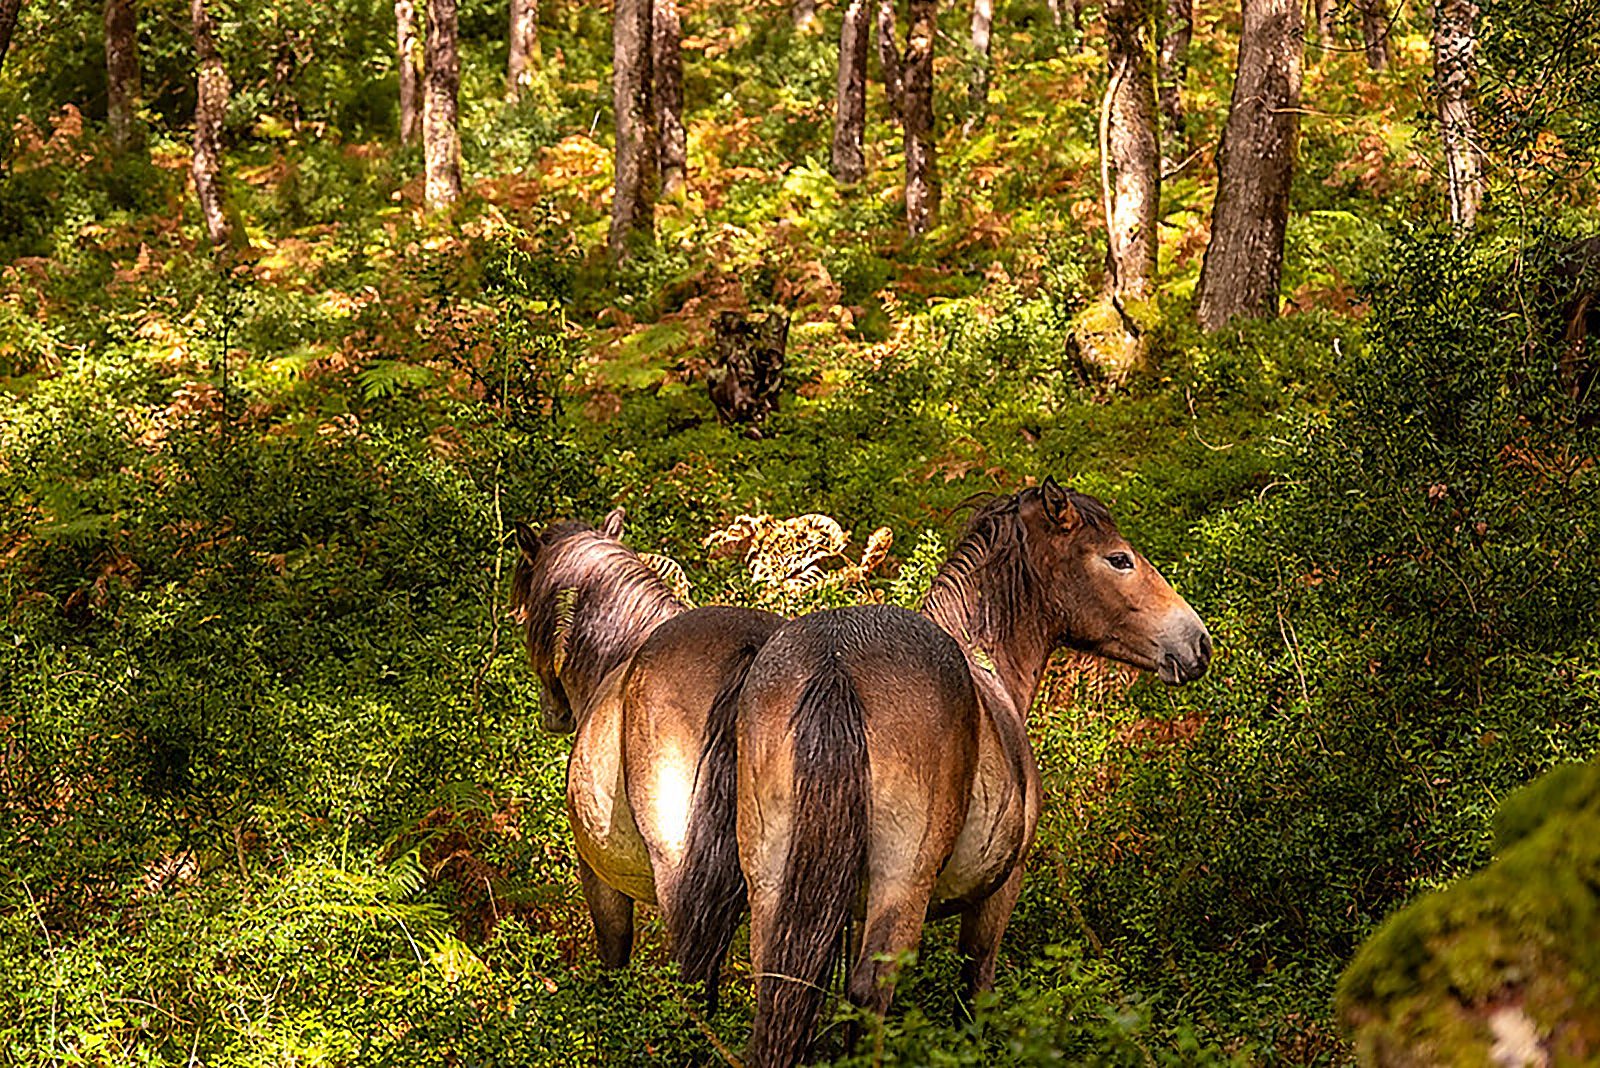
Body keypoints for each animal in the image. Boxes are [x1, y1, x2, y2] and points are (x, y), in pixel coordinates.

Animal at [735, 478, 1213, 1067]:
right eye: (1119, 559)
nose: (1197, 642)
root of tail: (836, 658)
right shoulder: (998, 894)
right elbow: (973, 991)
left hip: (773, 887)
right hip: (902, 885)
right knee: (872, 994)